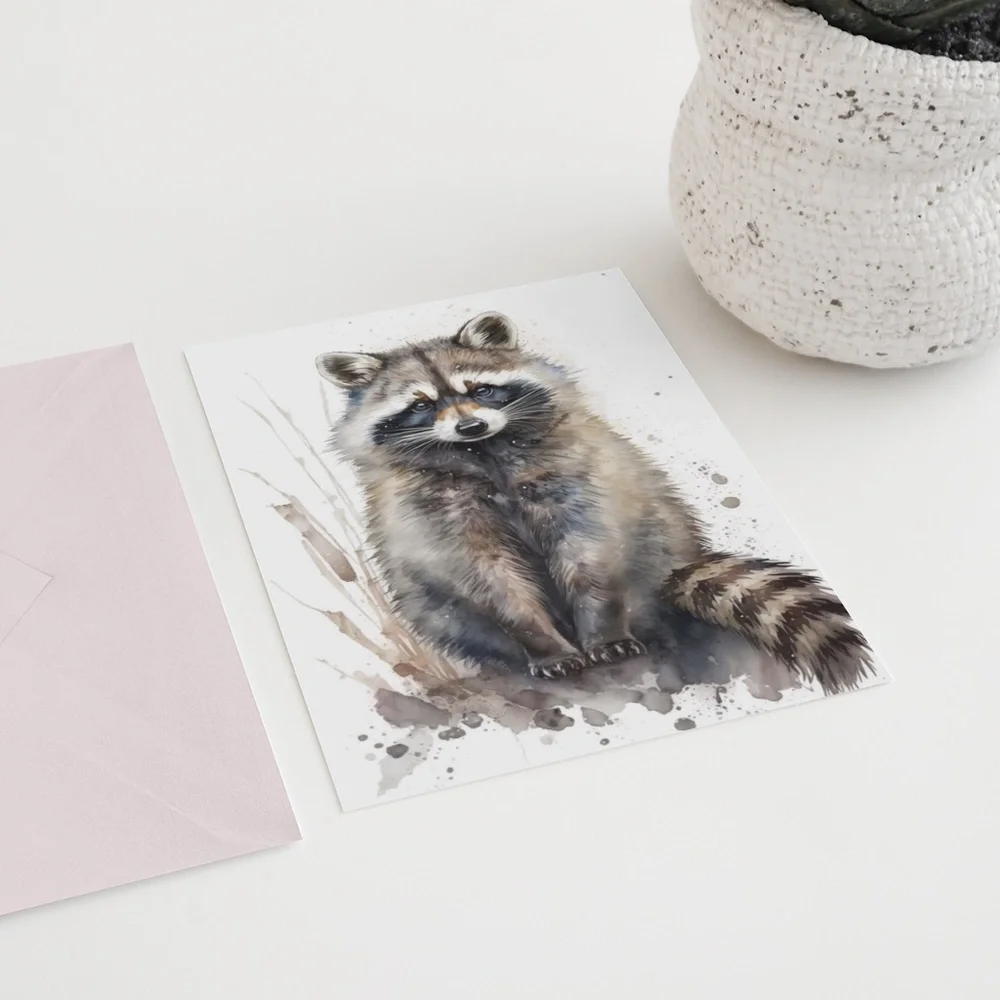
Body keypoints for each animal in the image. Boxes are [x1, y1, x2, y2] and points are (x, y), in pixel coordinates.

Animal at [316, 312, 873, 694]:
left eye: (481, 389)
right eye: (421, 405)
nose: (470, 425)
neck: (485, 453)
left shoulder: (576, 477)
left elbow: (592, 556)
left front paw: (603, 632)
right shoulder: (436, 513)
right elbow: (492, 579)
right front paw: (542, 643)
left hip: (657, 545)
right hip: (429, 604)